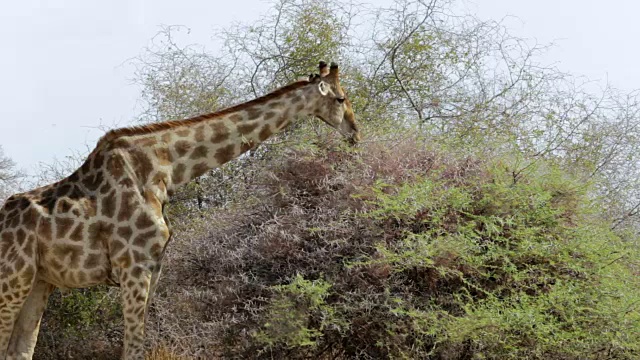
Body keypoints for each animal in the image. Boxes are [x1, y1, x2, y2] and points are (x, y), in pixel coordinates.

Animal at [0, 60, 360, 358]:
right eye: (340, 99)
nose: (355, 132)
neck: (165, 168)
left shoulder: (153, 267)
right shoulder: (133, 266)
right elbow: (133, 349)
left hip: (38, 281)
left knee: (19, 349)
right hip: (12, 277)